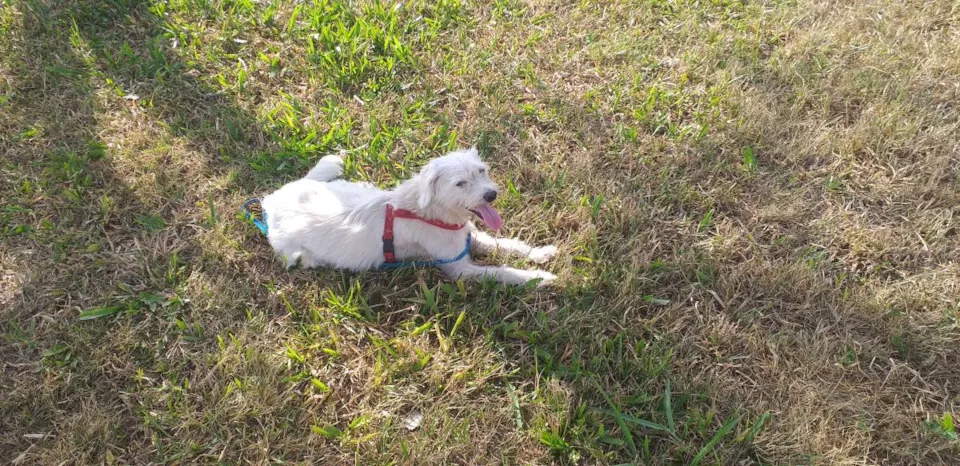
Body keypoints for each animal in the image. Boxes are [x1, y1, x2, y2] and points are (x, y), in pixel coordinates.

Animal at [261, 148, 559, 286]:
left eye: (481, 171)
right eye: (460, 183)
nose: (491, 195)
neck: (424, 210)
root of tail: (271, 201)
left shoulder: (467, 236)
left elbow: (508, 244)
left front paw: (540, 253)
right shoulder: (460, 269)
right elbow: (502, 271)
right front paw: (538, 277)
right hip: (298, 254)